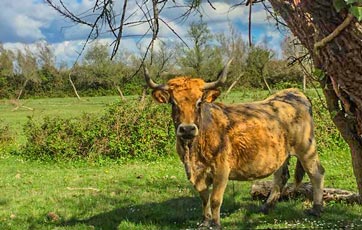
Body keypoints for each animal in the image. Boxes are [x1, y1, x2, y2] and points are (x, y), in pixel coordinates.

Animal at [144, 60, 326, 228]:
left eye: (199, 102)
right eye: (173, 103)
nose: (187, 129)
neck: (193, 151)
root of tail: (294, 92)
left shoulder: (222, 169)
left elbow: (215, 199)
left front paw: (215, 223)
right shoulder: (197, 173)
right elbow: (204, 197)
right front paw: (205, 221)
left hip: (307, 148)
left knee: (316, 173)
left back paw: (316, 208)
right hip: (280, 153)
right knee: (281, 176)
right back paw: (267, 207)